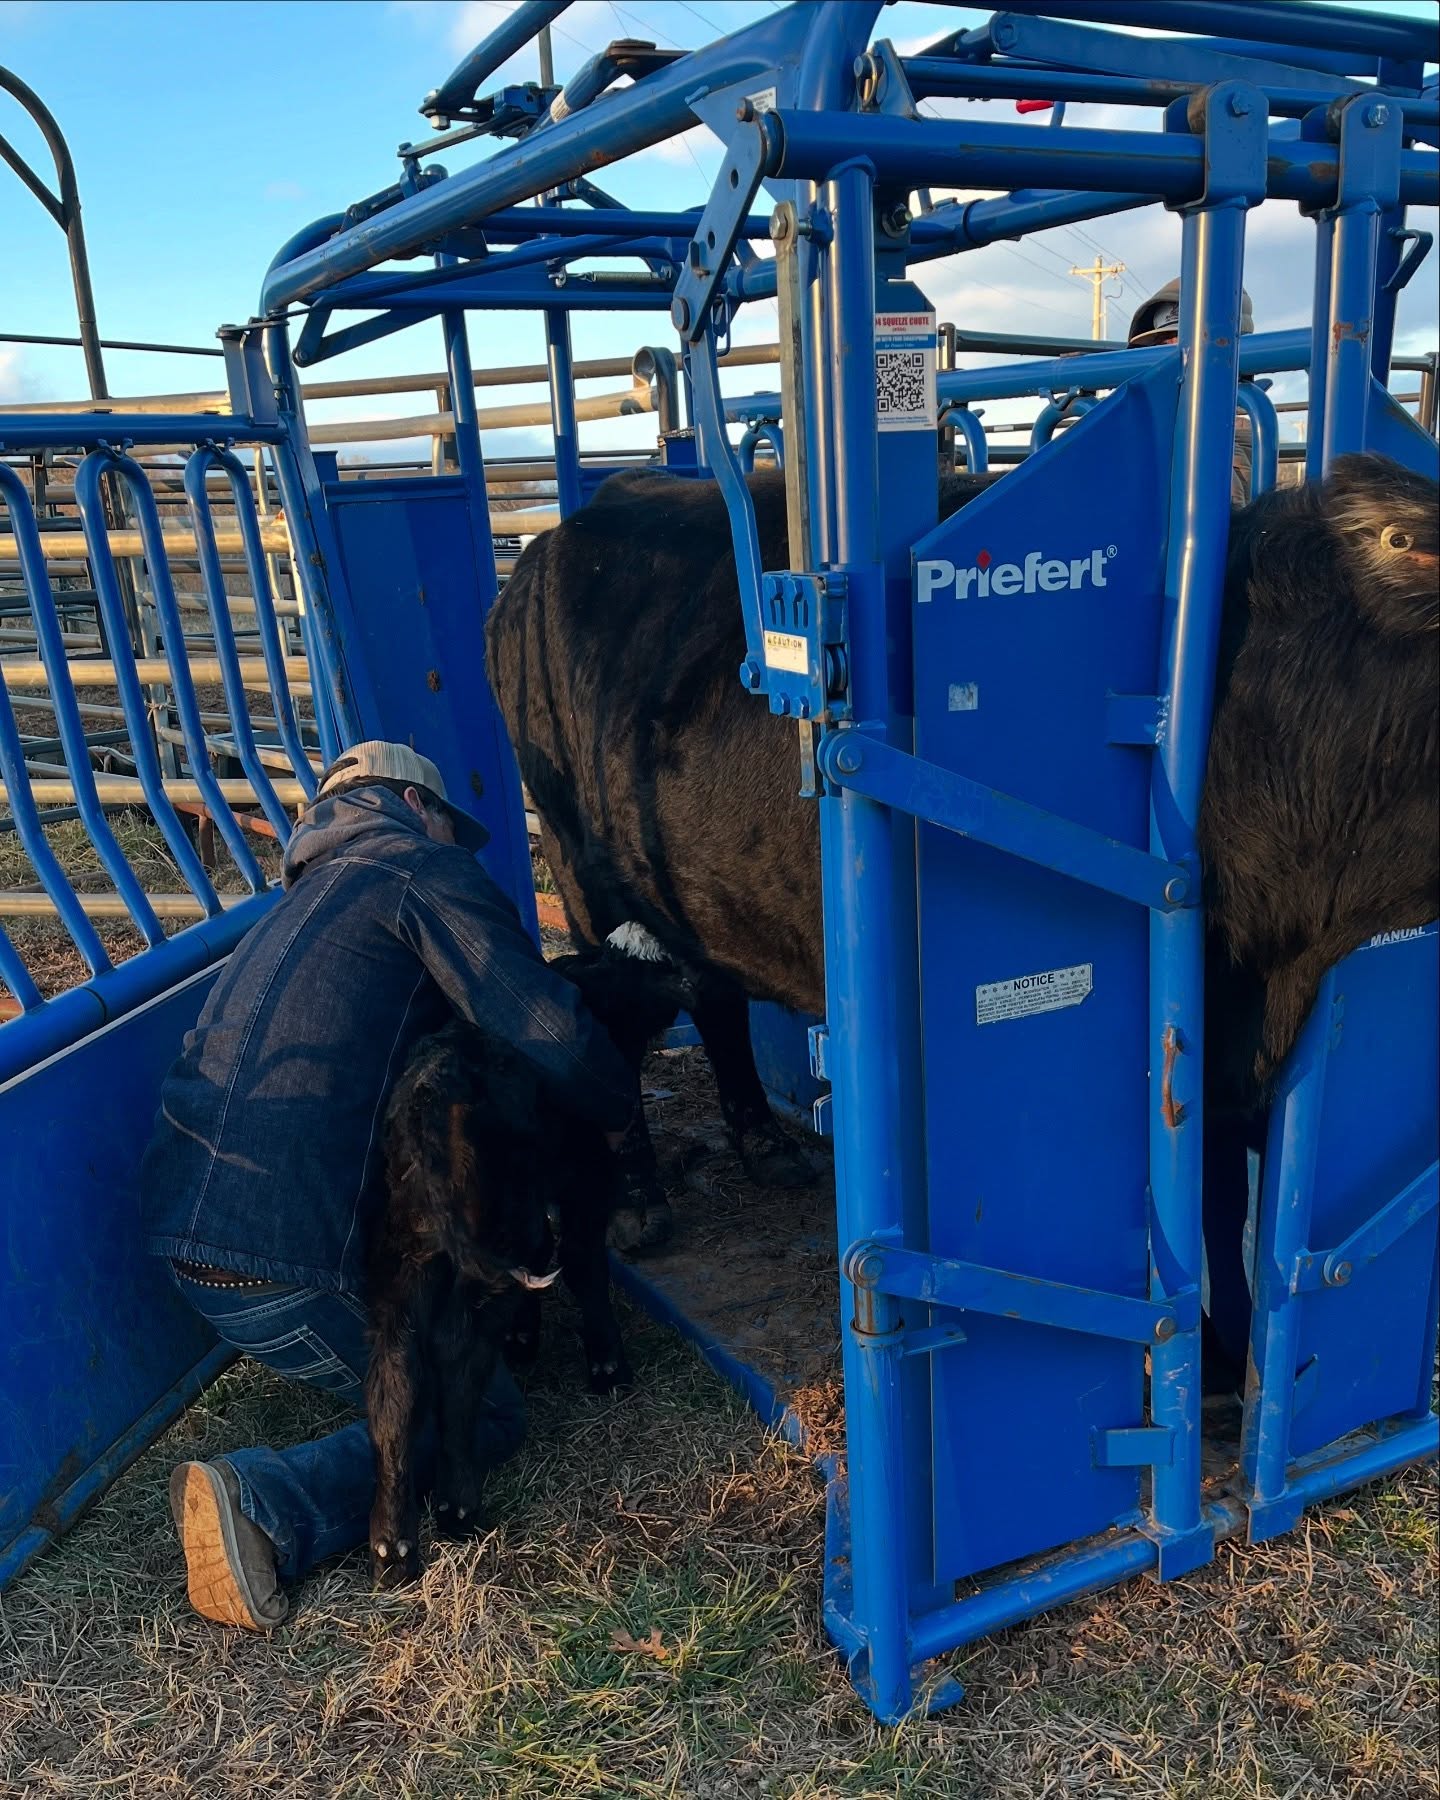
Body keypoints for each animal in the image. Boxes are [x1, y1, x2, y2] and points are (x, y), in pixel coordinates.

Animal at [364, 941, 695, 1586]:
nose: (683, 980)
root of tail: (429, 1097)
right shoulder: (586, 1184)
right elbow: (584, 1264)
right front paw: (607, 1366)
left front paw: (527, 1338)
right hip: (489, 1241)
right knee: (456, 1355)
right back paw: (457, 1502)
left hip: (405, 1257)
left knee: (396, 1378)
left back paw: (393, 1544)